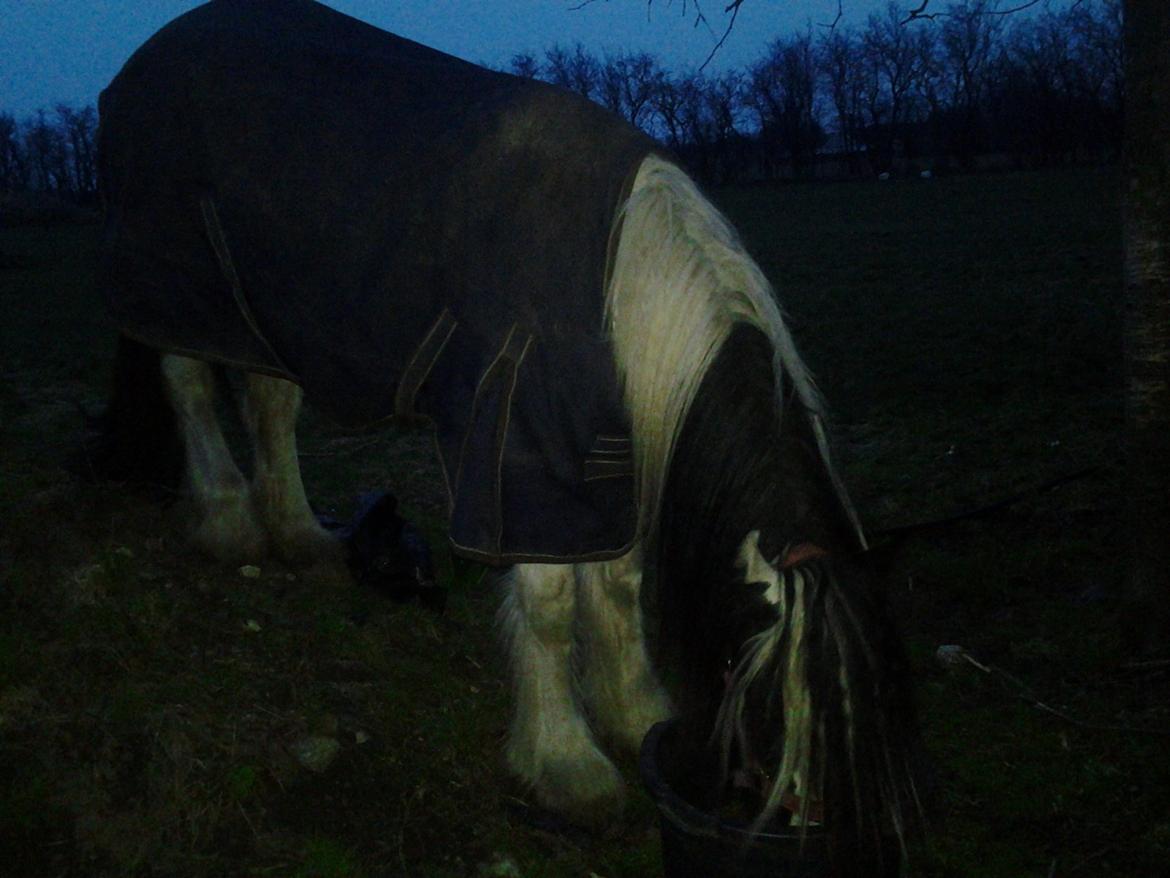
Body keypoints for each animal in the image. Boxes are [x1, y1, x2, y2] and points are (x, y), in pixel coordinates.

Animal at [93, 0, 921, 875]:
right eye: (782, 710)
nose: (803, 821)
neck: (617, 281)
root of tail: (143, 64)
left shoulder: (603, 459)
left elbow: (618, 586)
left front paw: (633, 712)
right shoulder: (522, 457)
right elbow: (551, 613)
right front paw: (566, 767)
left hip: (274, 317)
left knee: (270, 405)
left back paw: (300, 537)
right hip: (183, 290)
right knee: (189, 388)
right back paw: (225, 523)